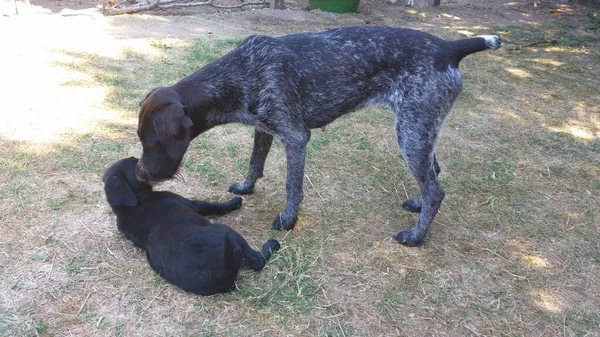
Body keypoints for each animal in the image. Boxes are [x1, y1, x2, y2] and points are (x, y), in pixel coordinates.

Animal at [103, 157, 282, 294]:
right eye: (134, 163)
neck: (125, 206)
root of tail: (219, 272)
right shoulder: (193, 204)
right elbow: (215, 205)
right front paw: (234, 201)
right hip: (227, 231)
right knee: (257, 261)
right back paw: (272, 244)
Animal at [135, 25, 502, 244]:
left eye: (152, 142)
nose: (139, 174)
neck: (239, 74)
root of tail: (448, 47)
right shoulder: (264, 129)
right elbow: (255, 163)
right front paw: (247, 186)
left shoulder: (296, 138)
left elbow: (291, 187)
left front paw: (288, 219)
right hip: (421, 130)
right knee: (433, 175)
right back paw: (417, 203)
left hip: (411, 132)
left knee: (436, 190)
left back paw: (416, 236)